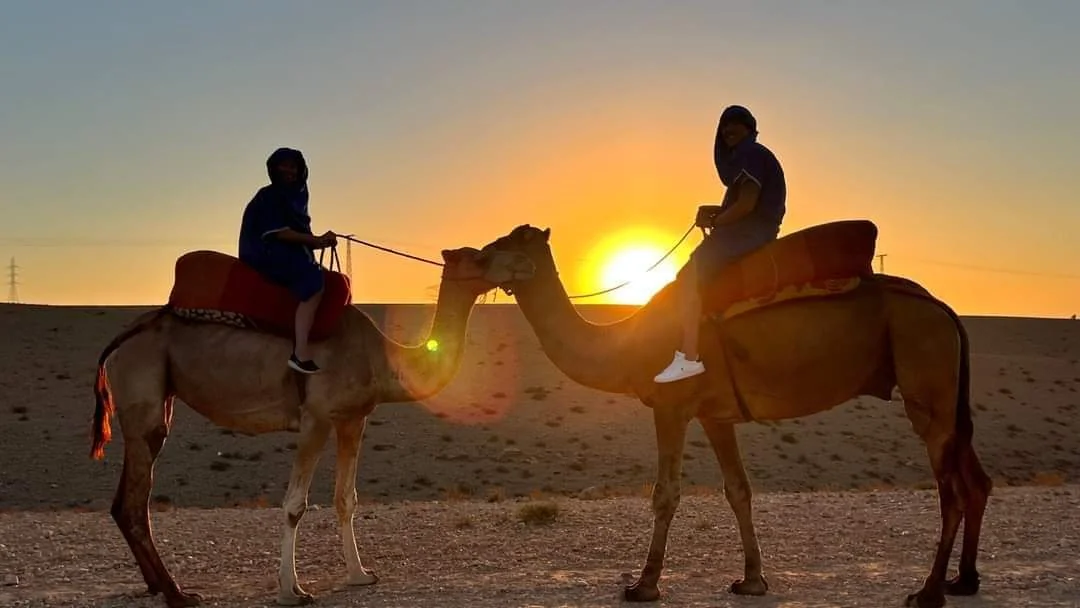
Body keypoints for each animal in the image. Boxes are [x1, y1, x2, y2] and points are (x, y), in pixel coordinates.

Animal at [87, 246, 535, 608]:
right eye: (481, 255)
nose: (523, 264)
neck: (381, 359)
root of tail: (124, 337)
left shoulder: (353, 418)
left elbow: (346, 498)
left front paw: (360, 575)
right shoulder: (315, 418)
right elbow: (295, 505)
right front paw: (292, 591)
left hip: (157, 399)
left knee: (124, 501)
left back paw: (157, 586)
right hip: (144, 390)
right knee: (136, 501)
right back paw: (178, 593)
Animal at [476, 223, 992, 608]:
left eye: (509, 243)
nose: (473, 257)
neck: (627, 345)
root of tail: (943, 308)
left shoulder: (672, 406)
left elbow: (666, 494)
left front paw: (643, 586)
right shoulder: (715, 415)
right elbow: (738, 490)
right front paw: (752, 580)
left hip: (925, 374)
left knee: (950, 490)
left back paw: (927, 592)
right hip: (946, 392)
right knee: (975, 480)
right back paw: (963, 581)